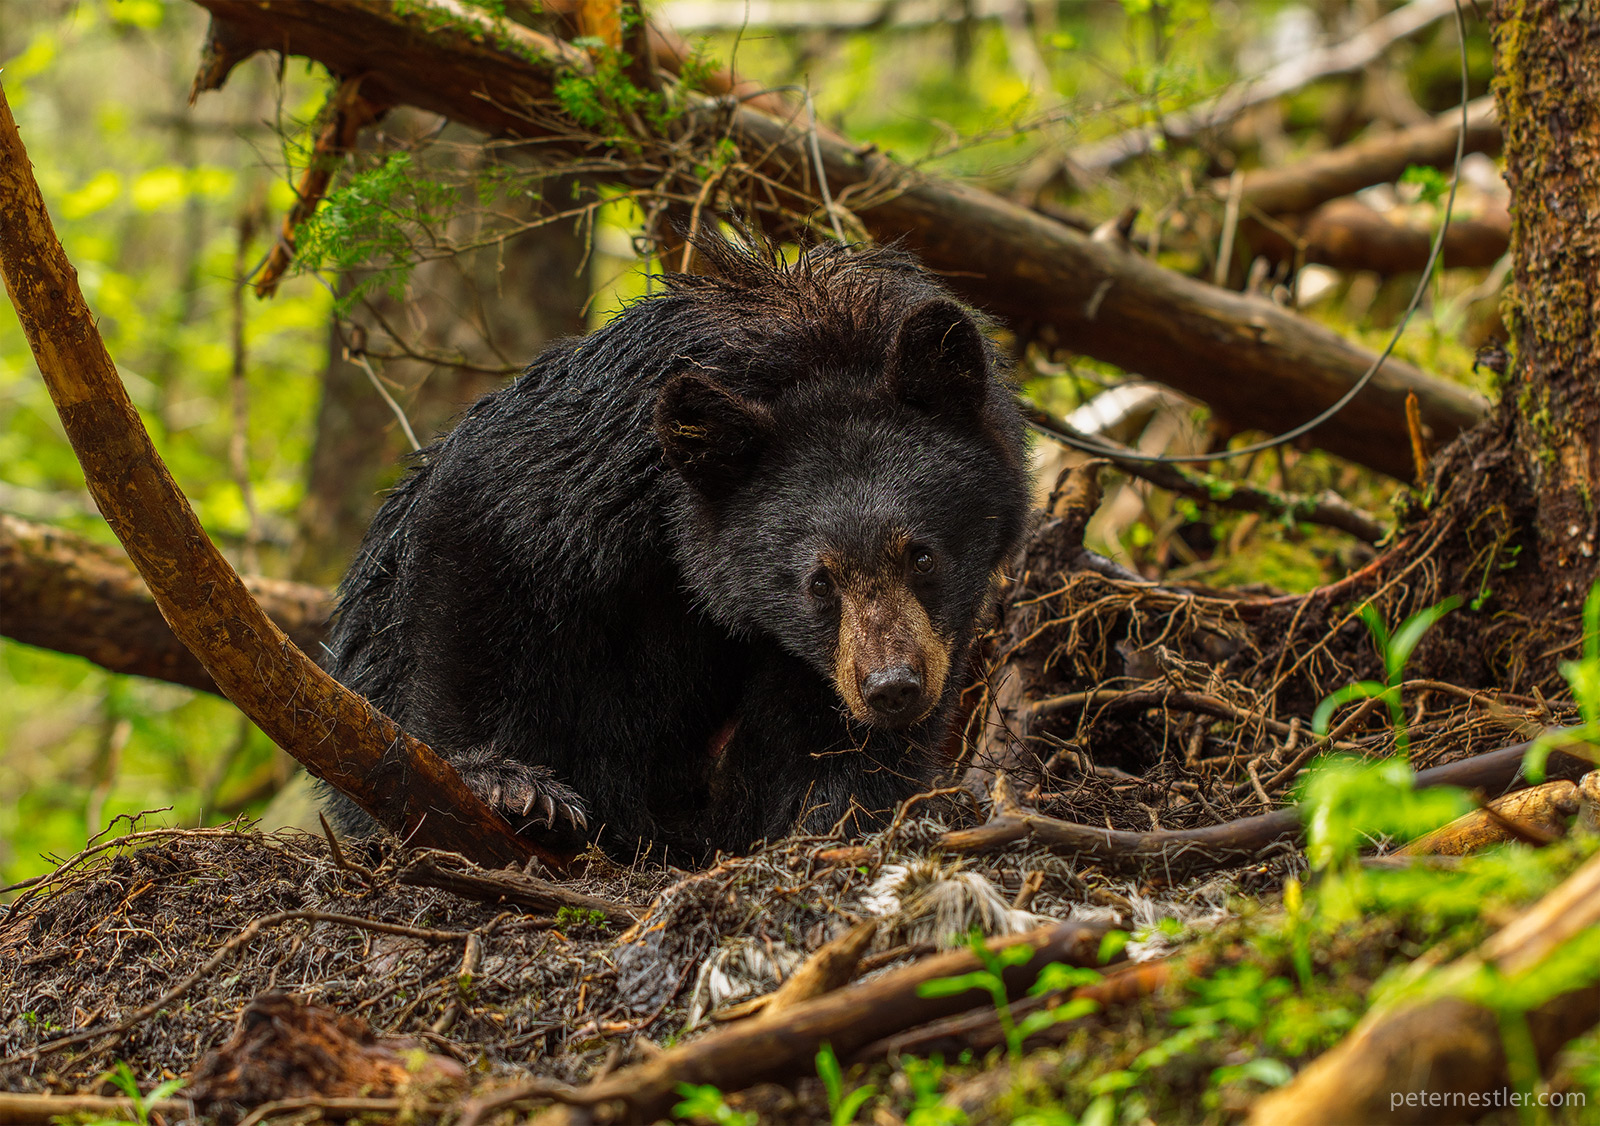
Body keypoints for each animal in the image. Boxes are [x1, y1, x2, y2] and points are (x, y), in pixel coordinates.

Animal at [328, 233, 1024, 857]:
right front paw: (509, 785)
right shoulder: (593, 461)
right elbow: (478, 560)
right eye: (818, 582)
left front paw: (833, 816)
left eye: (922, 555)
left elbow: (829, 732)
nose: (892, 687)